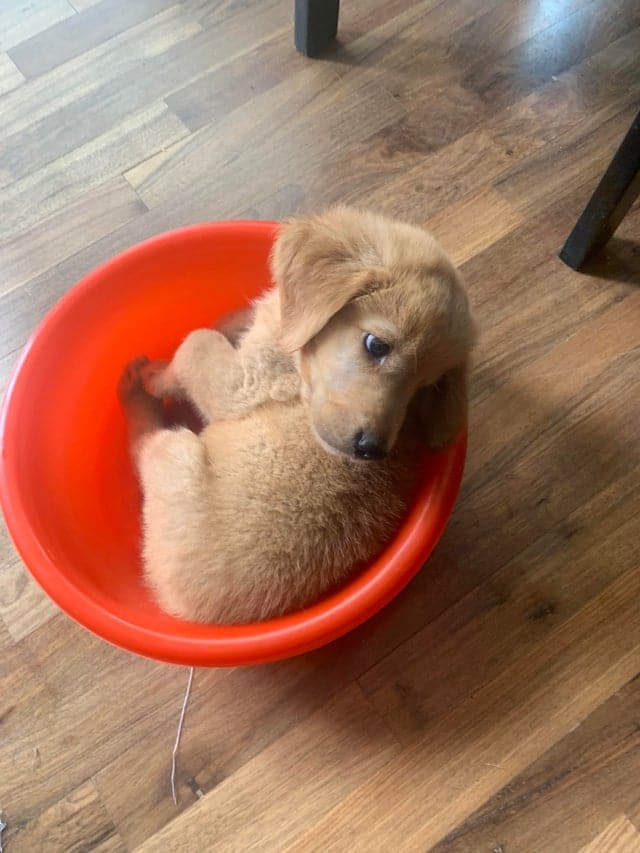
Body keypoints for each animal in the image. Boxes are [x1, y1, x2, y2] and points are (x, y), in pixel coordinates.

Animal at [117, 204, 476, 624]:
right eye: (376, 345)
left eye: (425, 385)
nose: (371, 450)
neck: (298, 358)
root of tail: (187, 611)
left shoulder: (241, 382)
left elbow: (195, 343)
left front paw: (157, 376)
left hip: (174, 455)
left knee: (143, 444)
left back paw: (134, 392)